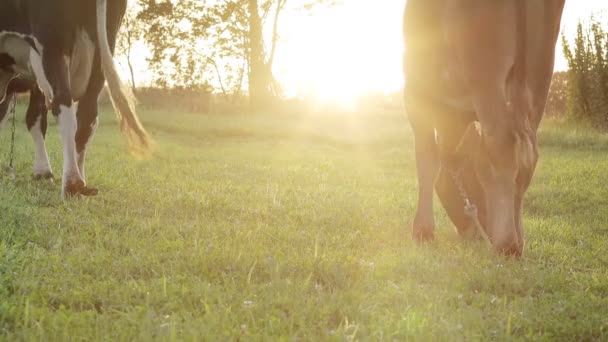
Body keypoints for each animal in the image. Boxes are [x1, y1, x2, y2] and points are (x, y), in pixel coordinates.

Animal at [0, 0, 151, 198]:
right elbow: (35, 118)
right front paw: (43, 173)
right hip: (101, 51)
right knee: (87, 116)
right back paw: (81, 183)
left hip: (52, 44)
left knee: (64, 105)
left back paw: (72, 183)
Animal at [404, 0, 564, 255]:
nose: (477, 234)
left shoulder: (415, 92)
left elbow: (426, 160)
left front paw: (422, 231)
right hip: (541, 68)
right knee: (528, 152)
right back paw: (518, 238)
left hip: (485, 68)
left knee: (502, 142)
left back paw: (506, 242)